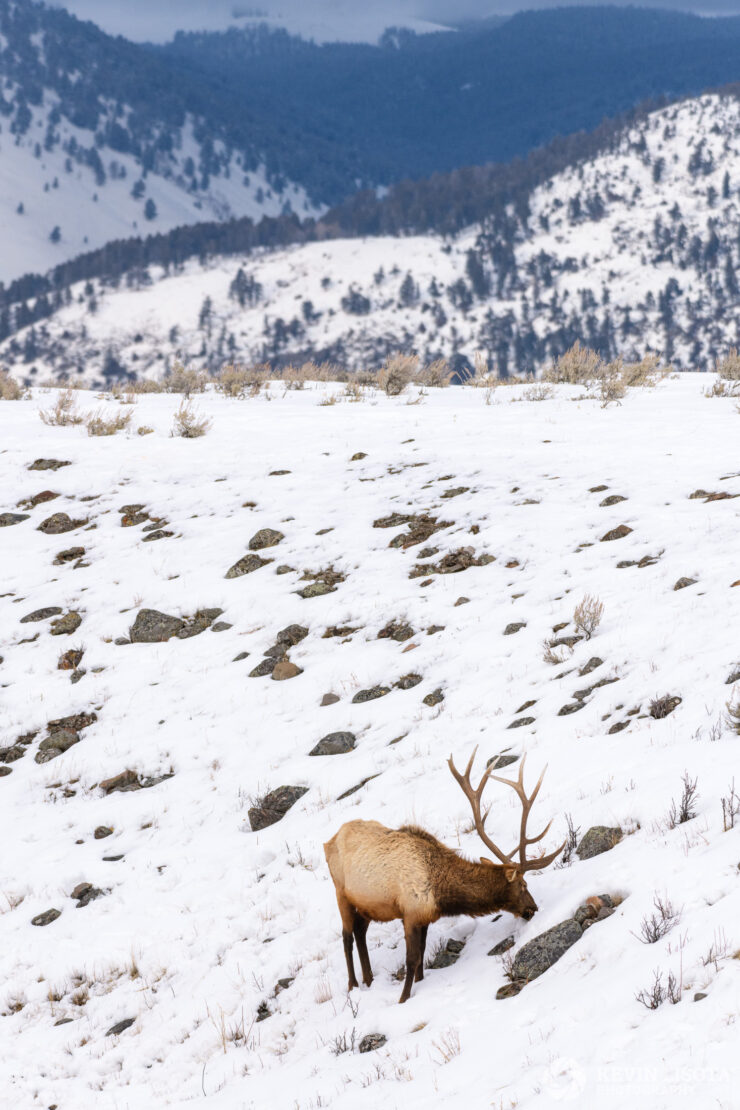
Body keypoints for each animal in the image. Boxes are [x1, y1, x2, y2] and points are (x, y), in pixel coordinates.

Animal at [323, 750, 561, 1003]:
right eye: (524, 884)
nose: (533, 908)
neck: (441, 892)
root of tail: (328, 842)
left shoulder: (425, 917)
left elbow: (420, 957)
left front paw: (418, 984)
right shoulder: (410, 913)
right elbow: (411, 959)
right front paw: (403, 998)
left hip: (368, 905)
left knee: (360, 932)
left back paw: (368, 980)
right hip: (341, 893)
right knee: (347, 937)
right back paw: (353, 985)